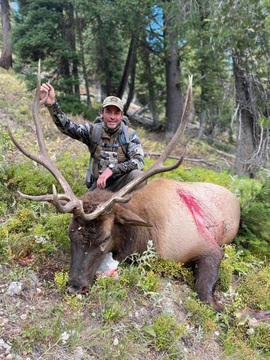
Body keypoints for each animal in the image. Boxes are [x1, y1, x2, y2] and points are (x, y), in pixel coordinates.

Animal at [8, 62, 240, 312]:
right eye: (70, 233)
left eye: (105, 239)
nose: (74, 286)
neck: (149, 234)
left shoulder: (207, 246)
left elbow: (206, 294)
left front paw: (223, 308)